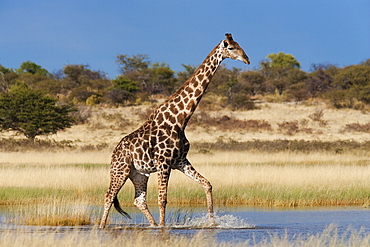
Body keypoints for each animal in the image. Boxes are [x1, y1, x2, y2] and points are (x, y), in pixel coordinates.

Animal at [99, 33, 249, 228]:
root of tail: (114, 153)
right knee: (109, 196)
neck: (180, 120)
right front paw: (164, 228)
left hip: (139, 174)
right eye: (231, 48)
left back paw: (153, 225)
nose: (247, 59)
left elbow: (207, 184)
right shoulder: (164, 163)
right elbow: (162, 199)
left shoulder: (179, 160)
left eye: (239, 44)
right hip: (120, 170)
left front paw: (212, 222)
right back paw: (102, 227)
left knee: (139, 200)